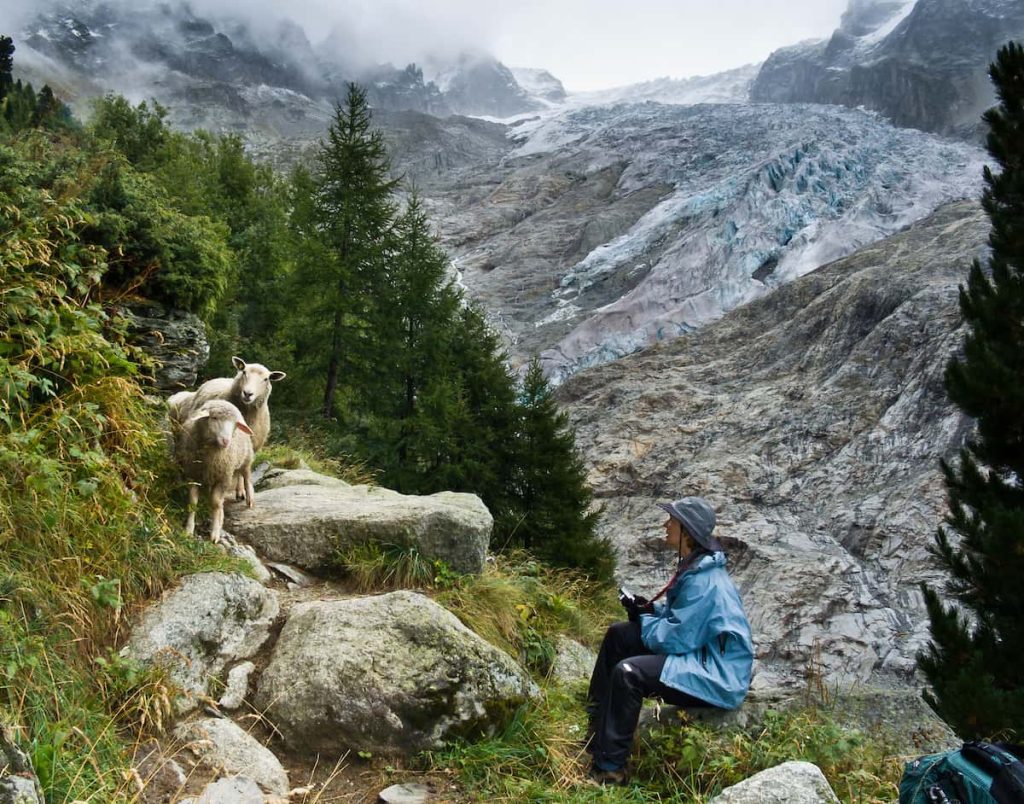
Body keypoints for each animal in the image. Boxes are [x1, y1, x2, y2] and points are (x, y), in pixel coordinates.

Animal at [176, 397, 256, 540]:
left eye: (235, 424)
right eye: (214, 418)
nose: (226, 441)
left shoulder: (223, 478)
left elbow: (216, 503)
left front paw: (215, 532)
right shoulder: (193, 474)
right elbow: (193, 502)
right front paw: (189, 529)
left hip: (246, 457)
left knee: (246, 476)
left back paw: (249, 498)